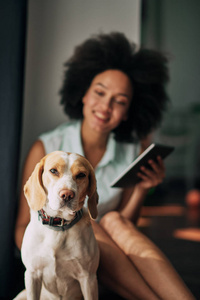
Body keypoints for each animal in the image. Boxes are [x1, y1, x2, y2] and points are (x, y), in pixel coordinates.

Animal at [13, 151, 99, 298]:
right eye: (53, 171)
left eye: (81, 175)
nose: (67, 195)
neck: (58, 227)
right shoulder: (32, 275)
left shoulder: (88, 279)